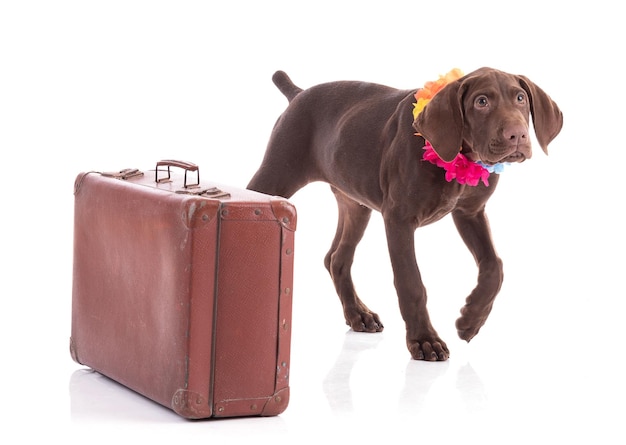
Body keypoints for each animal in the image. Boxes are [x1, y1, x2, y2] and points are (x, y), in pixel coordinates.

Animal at [247, 68, 560, 360]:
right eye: (481, 101)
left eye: (520, 98)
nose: (517, 135)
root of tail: (298, 94)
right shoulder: (399, 219)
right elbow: (411, 281)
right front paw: (424, 340)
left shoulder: (470, 213)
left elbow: (495, 266)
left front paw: (471, 319)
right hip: (276, 176)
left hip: (356, 205)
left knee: (336, 258)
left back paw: (358, 314)